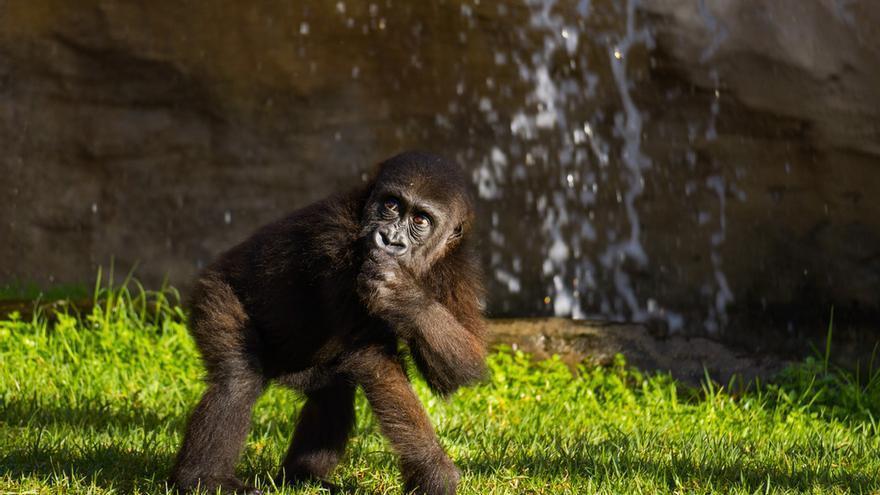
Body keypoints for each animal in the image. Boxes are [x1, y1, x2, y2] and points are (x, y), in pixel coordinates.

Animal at [170, 151, 488, 495]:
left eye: (421, 221)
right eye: (391, 205)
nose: (389, 240)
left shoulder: (458, 268)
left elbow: (460, 369)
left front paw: (403, 295)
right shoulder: (336, 241)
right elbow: (375, 359)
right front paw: (433, 470)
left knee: (331, 393)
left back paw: (302, 476)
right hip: (215, 291)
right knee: (237, 378)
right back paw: (203, 478)